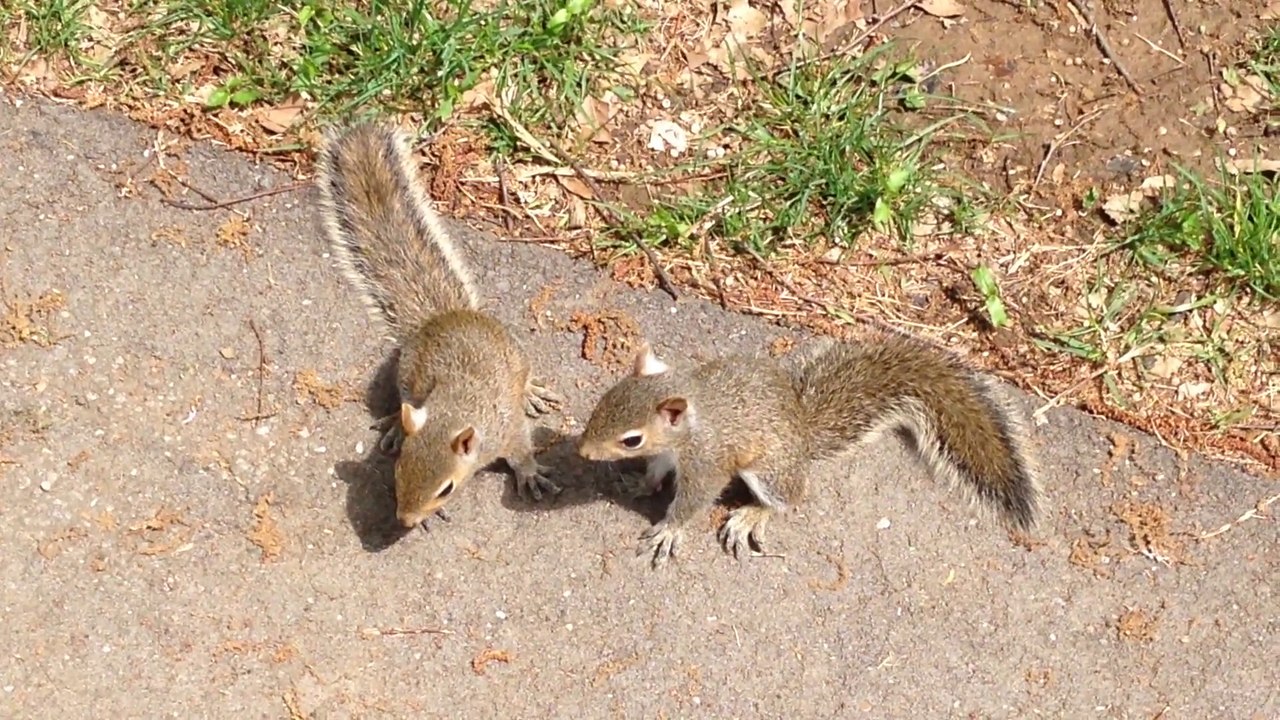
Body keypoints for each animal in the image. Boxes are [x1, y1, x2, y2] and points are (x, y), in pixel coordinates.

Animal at [315, 122, 564, 529]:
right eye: (399, 472)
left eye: (446, 488)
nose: (405, 520)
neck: (455, 410)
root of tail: (444, 315)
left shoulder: (507, 430)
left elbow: (521, 450)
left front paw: (529, 474)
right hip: (407, 372)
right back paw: (396, 424)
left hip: (517, 357)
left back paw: (529, 391)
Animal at [577, 333, 1041, 568]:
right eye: (604, 400)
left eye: (631, 439)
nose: (583, 452)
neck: (692, 425)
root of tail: (803, 430)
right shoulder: (668, 455)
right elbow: (656, 472)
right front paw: (638, 483)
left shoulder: (707, 464)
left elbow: (692, 501)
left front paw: (669, 531)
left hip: (769, 470)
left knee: (791, 497)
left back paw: (751, 515)